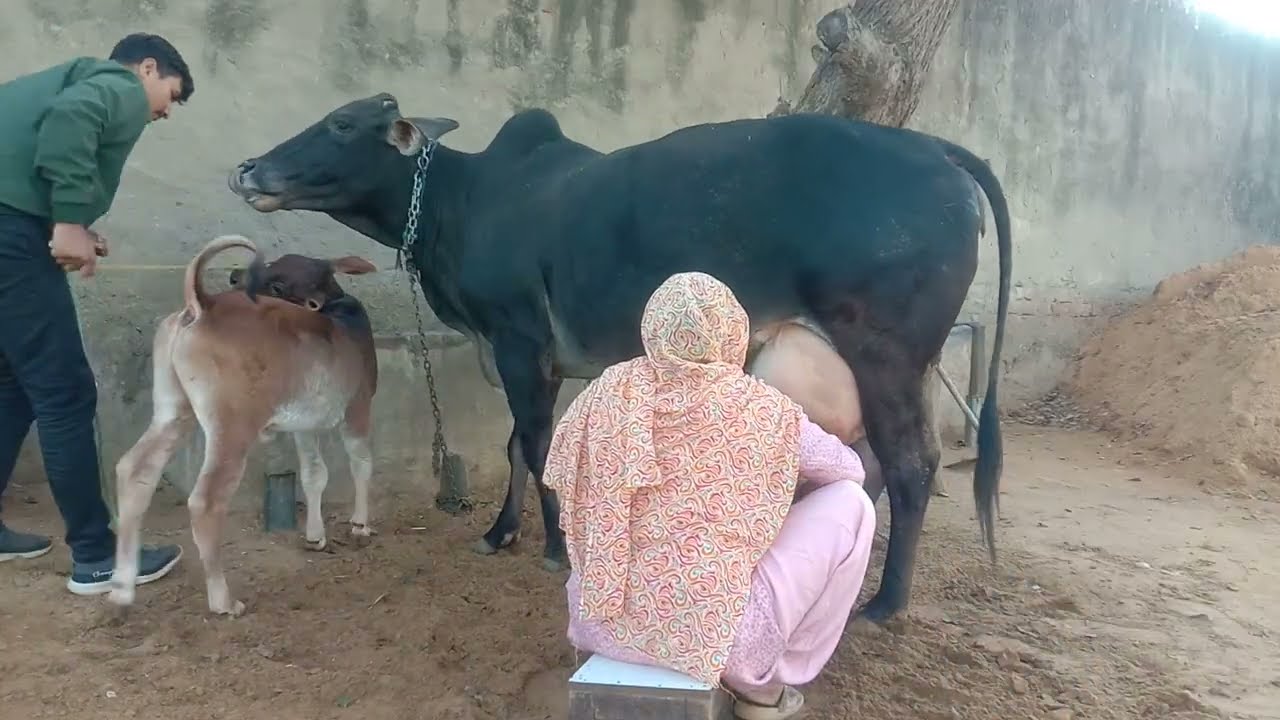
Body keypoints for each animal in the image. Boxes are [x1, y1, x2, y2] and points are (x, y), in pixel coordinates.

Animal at [107, 235, 380, 617]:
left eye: (278, 282)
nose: (236, 276)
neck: (337, 314)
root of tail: (201, 304)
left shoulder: (304, 425)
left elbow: (315, 474)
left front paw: (315, 536)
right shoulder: (358, 404)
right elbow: (361, 463)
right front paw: (360, 525)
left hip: (172, 409)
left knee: (134, 470)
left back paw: (121, 588)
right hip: (232, 424)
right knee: (206, 500)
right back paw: (223, 601)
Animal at [226, 93, 1011, 622]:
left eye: (341, 123)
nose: (249, 169)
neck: (465, 203)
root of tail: (939, 150)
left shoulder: (518, 342)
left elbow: (535, 446)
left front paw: (552, 547)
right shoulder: (529, 358)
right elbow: (516, 446)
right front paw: (501, 532)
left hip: (886, 355)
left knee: (911, 465)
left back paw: (884, 604)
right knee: (871, 464)